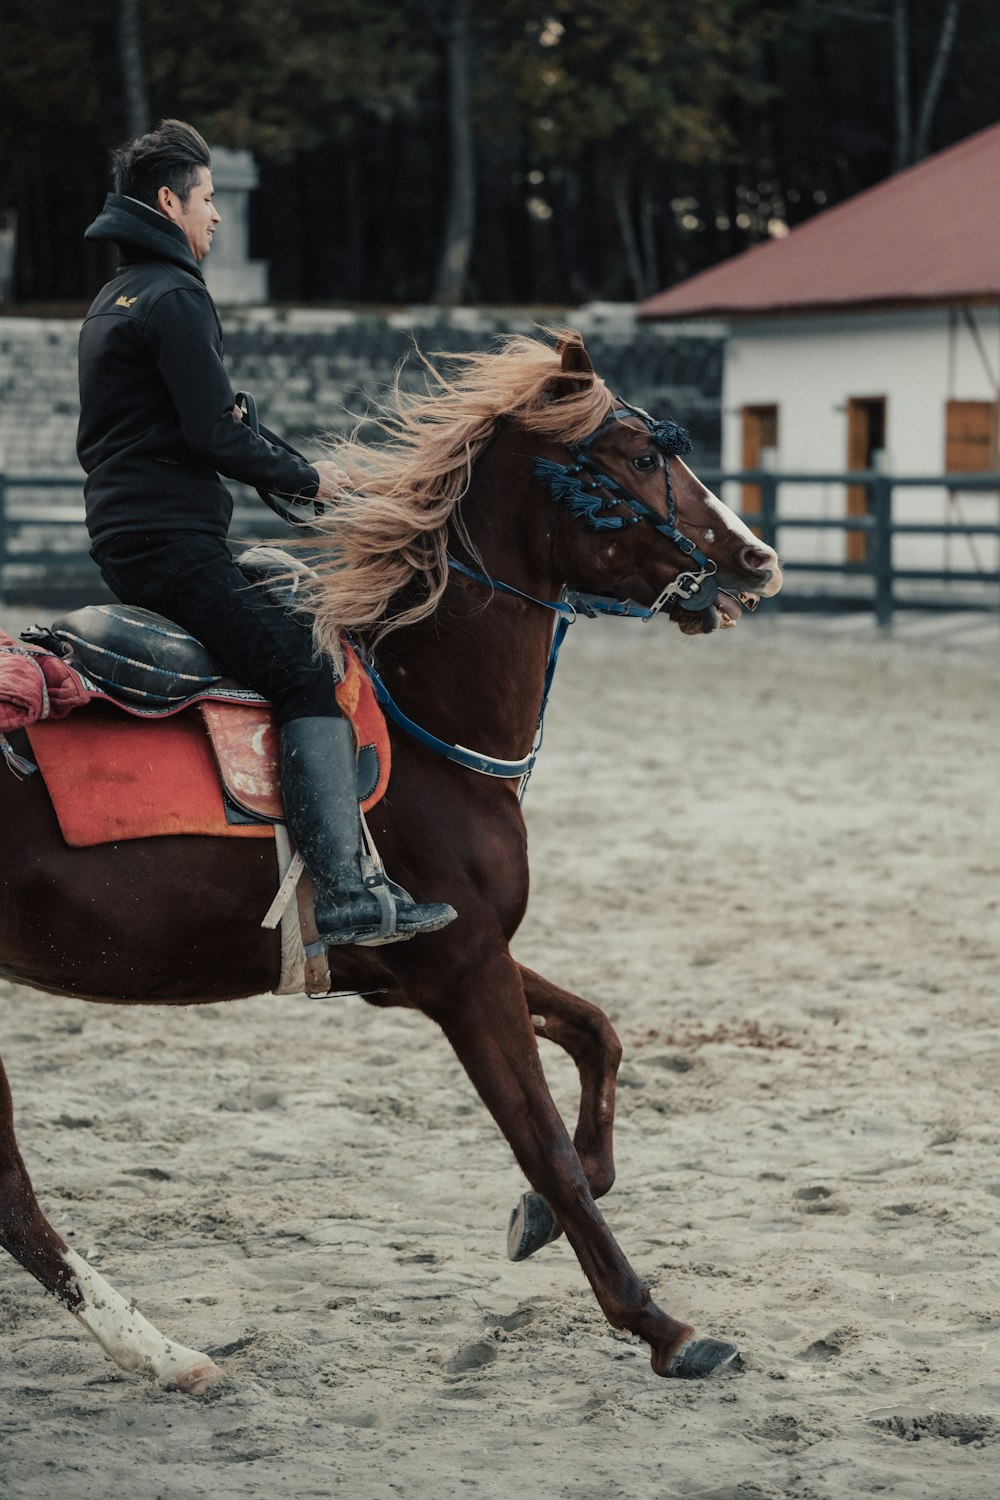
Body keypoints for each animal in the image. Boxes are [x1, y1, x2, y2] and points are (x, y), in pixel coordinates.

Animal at [0, 331, 779, 1392]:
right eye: (638, 454)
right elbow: (545, 1144)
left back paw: (165, 1356)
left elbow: (599, 1036)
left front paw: (540, 1221)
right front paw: (661, 1325)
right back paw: (165, 1352)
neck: (426, 724)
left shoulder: (427, 964)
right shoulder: (461, 970)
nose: (757, 561)